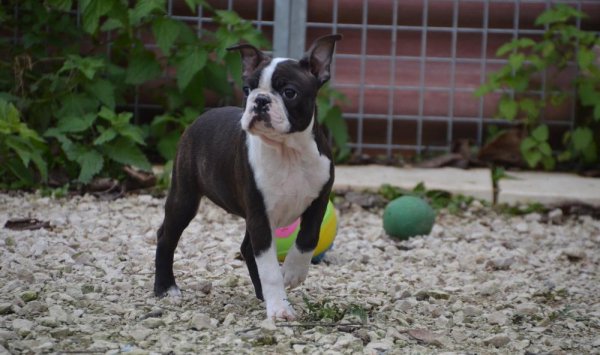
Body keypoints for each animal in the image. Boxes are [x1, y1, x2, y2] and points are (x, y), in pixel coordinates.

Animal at [154, 34, 342, 322]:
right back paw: (165, 287)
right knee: (166, 235)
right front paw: (279, 308)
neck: (288, 152)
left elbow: (308, 238)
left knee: (245, 247)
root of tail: (203, 115)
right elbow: (269, 268)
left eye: (289, 92)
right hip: (184, 196)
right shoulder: (260, 214)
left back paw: (262, 293)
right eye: (247, 89)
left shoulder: (318, 200)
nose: (260, 100)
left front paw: (293, 273)